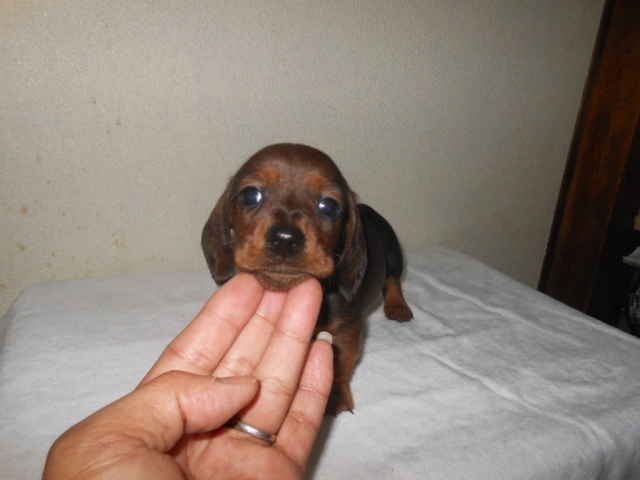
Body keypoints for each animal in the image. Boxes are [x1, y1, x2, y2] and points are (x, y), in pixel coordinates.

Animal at [202, 143, 413, 414]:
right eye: (250, 195)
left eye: (329, 206)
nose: (285, 239)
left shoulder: (349, 328)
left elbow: (341, 364)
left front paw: (336, 394)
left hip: (393, 250)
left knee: (393, 280)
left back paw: (398, 306)